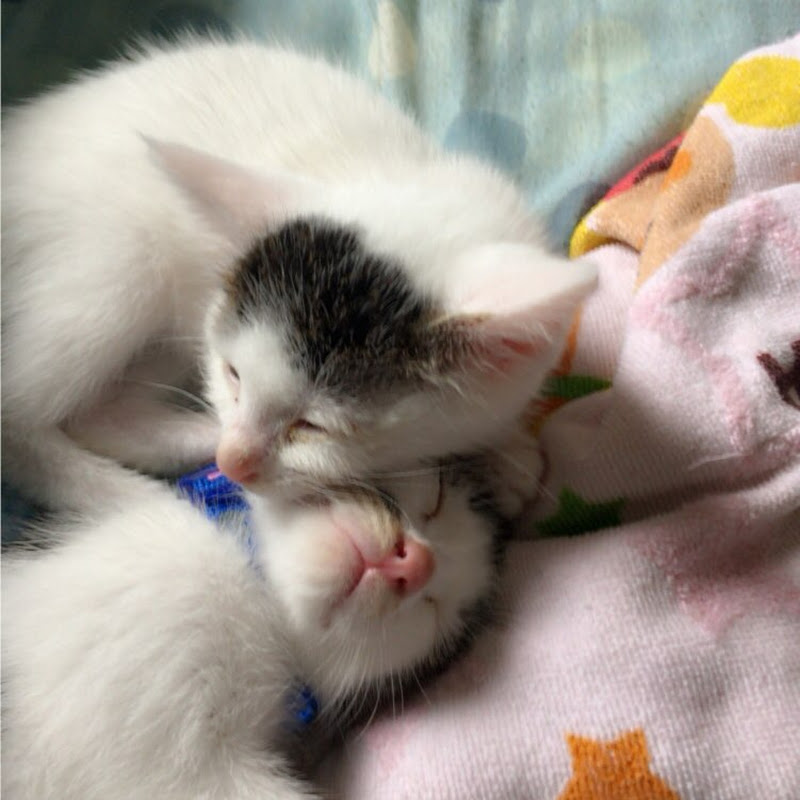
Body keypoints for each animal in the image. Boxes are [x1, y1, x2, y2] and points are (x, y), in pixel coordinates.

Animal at [1, 37, 596, 515]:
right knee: (17, 417)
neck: (399, 173)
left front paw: (506, 449)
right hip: (118, 260)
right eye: (234, 373)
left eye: (315, 426)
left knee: (101, 415)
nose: (232, 462)